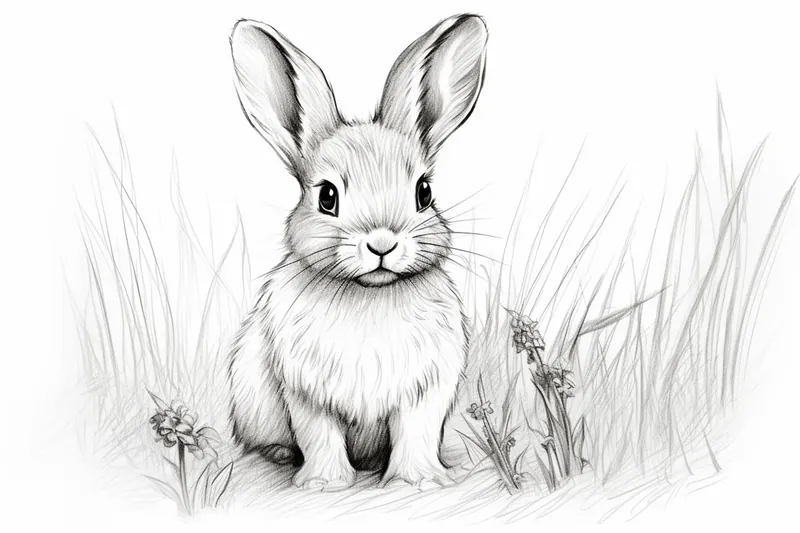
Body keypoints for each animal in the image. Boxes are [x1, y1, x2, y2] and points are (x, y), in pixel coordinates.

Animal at [226, 13, 488, 491]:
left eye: (424, 192)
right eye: (326, 196)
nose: (382, 243)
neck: (370, 294)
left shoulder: (425, 391)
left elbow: (416, 434)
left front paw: (417, 482)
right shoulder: (307, 393)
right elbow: (319, 435)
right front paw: (325, 484)